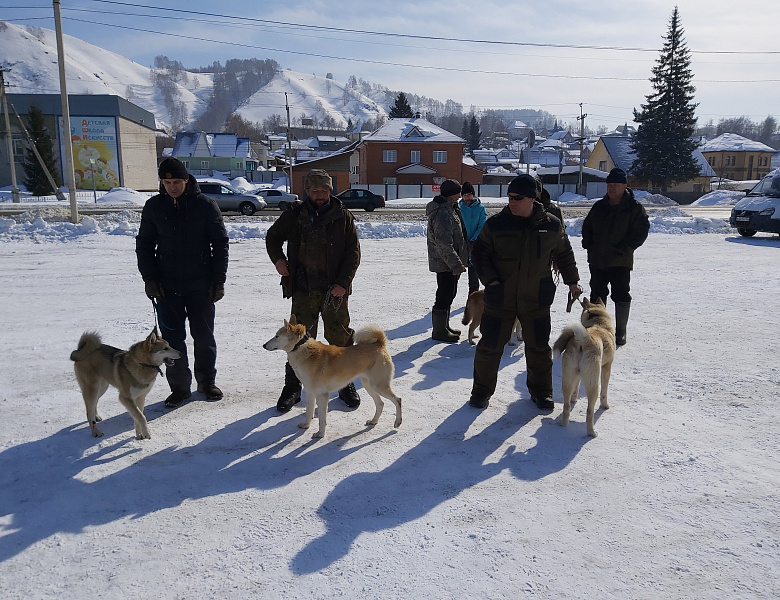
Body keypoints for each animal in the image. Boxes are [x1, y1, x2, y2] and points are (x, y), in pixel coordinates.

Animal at [266, 316, 406, 438]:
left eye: (277, 336)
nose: (263, 345)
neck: (301, 348)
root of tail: (379, 344)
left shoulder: (322, 395)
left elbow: (322, 419)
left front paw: (320, 435)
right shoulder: (311, 392)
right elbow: (309, 411)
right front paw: (306, 425)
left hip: (378, 385)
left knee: (398, 400)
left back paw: (398, 422)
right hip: (369, 385)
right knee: (380, 403)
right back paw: (373, 421)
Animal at [556, 298, 616, 436]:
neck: (599, 323)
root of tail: (583, 340)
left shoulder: (578, 374)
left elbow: (576, 389)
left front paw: (574, 399)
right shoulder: (607, 367)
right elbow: (604, 392)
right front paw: (605, 405)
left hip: (567, 379)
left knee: (566, 406)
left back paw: (563, 424)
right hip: (593, 384)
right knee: (589, 412)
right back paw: (592, 433)